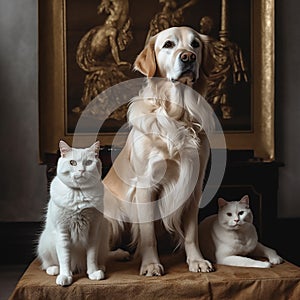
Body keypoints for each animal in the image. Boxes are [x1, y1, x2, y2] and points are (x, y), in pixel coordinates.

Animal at [103, 27, 213, 276]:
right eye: (168, 44)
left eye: (195, 44)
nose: (188, 57)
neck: (179, 115)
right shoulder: (146, 184)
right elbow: (148, 235)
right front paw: (151, 264)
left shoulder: (194, 184)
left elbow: (191, 233)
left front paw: (196, 260)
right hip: (112, 218)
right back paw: (120, 254)